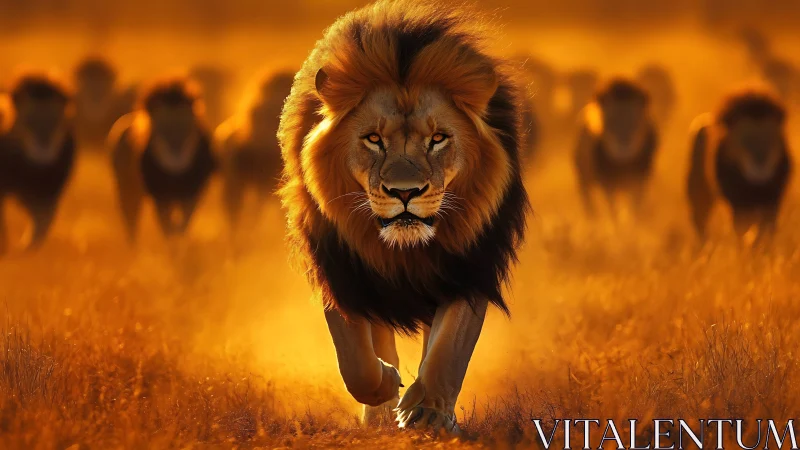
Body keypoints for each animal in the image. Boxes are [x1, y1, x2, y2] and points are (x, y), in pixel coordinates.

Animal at [0, 72, 76, 253]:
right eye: (29, 120)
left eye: (55, 120)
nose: (43, 144)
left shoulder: (47, 194)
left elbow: (41, 228)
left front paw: (27, 253)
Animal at [109, 76, 216, 241]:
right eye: (159, 130)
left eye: (189, 127)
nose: (176, 157)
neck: (176, 175)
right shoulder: (160, 198)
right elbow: (168, 230)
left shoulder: (192, 195)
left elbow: (183, 228)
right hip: (127, 190)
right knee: (131, 224)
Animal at [278, 0, 529, 434]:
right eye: (373, 139)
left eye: (438, 138)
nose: (406, 192)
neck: (404, 251)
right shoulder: (341, 270)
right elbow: (355, 361)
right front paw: (385, 387)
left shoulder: (469, 266)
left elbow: (448, 349)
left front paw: (429, 411)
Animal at [574, 77, 658, 218]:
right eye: (610, 120)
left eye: (634, 118)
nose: (623, 143)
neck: (623, 164)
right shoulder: (608, 185)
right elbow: (612, 211)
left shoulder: (640, 180)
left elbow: (636, 207)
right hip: (583, 178)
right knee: (588, 201)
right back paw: (592, 219)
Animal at [687, 88, 791, 242]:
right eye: (745, 139)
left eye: (770, 137)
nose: (760, 163)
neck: (754, 186)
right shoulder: (738, 207)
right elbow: (742, 232)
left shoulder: (773, 203)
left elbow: (765, 232)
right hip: (700, 195)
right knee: (700, 224)